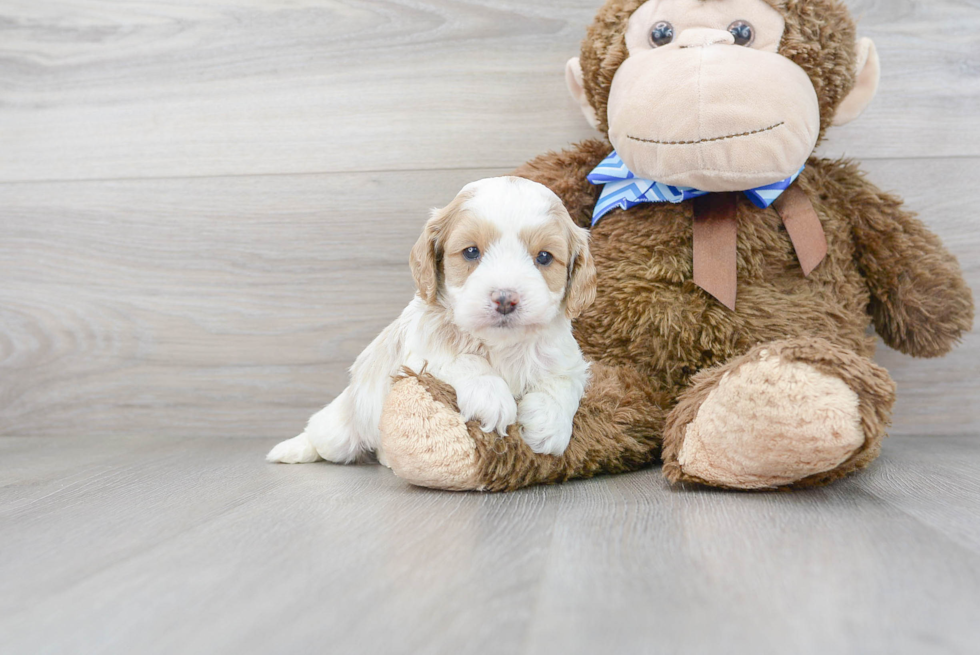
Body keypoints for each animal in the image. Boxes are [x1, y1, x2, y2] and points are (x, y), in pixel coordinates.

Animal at [268, 177, 600, 464]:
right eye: (471, 252)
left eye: (544, 257)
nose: (505, 299)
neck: (500, 344)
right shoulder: (419, 354)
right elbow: (462, 359)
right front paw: (491, 397)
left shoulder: (567, 360)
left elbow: (562, 383)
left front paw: (549, 425)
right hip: (341, 427)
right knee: (321, 435)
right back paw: (291, 449)